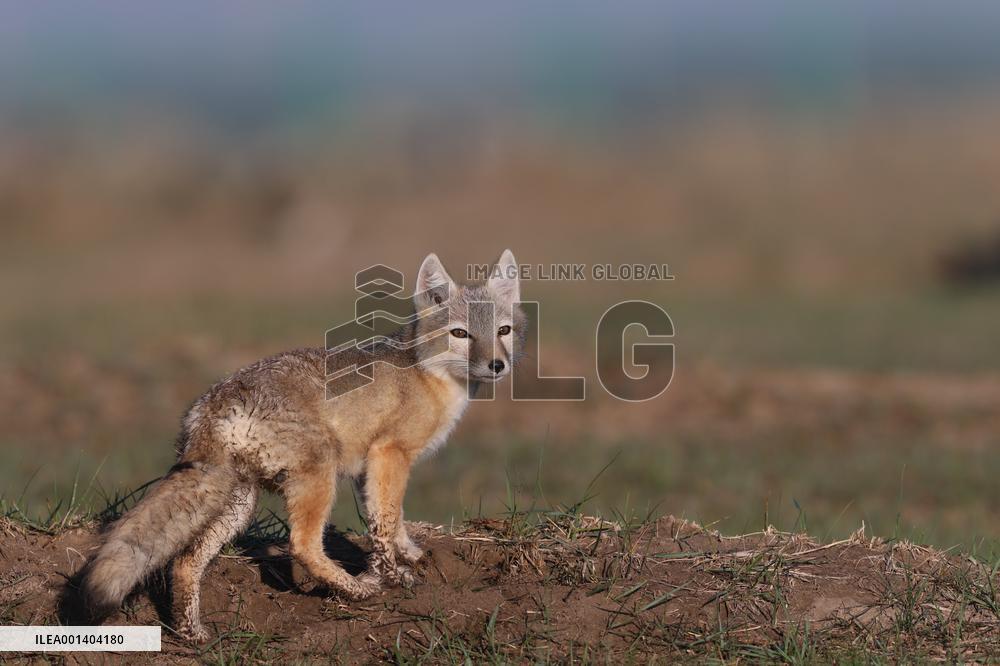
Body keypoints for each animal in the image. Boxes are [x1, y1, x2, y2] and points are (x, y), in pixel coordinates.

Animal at [79, 249, 526, 641]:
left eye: (502, 331)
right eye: (460, 334)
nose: (497, 366)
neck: (426, 372)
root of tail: (222, 398)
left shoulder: (368, 468)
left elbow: (388, 521)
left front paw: (406, 555)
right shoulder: (389, 454)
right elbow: (384, 523)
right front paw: (392, 576)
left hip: (239, 504)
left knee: (186, 562)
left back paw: (192, 635)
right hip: (316, 477)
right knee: (302, 545)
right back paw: (355, 590)